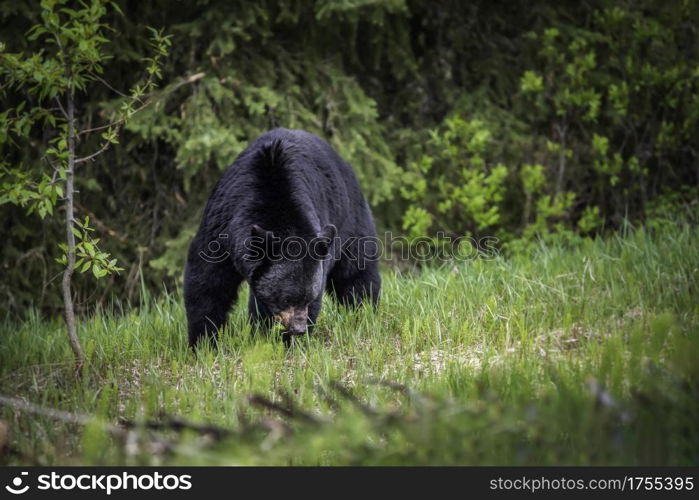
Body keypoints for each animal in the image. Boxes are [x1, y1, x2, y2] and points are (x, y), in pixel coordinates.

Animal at [183, 129, 382, 348]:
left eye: (308, 298)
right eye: (287, 298)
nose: (299, 329)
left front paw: (281, 341)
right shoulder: (221, 223)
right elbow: (208, 282)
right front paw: (203, 341)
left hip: (351, 220)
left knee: (356, 271)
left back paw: (362, 311)